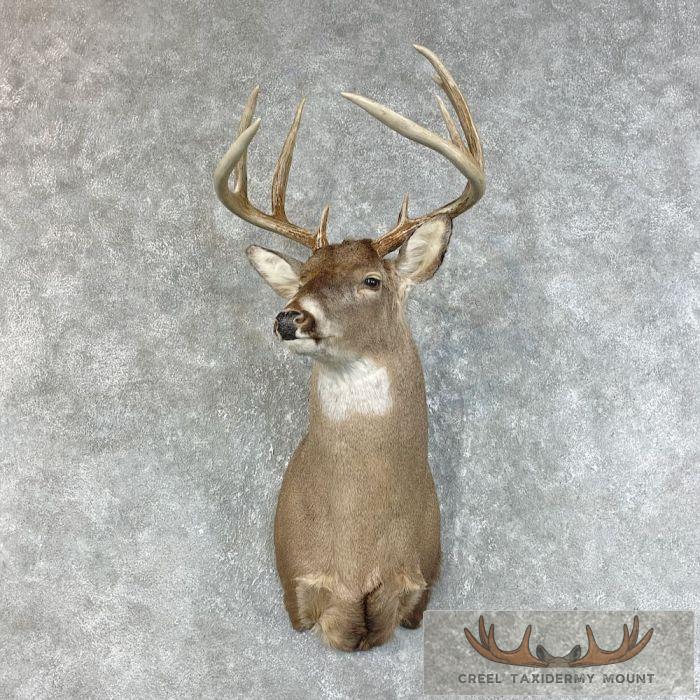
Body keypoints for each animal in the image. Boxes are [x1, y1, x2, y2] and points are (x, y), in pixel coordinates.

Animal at [214, 46, 485, 651]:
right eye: (300, 281)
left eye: (372, 280)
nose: (289, 316)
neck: (359, 552)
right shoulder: (296, 582)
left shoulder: (419, 584)